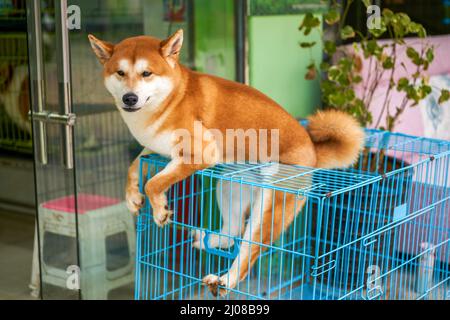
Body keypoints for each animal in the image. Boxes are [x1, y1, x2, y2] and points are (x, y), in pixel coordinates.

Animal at [89, 30, 366, 298]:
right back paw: (208, 241)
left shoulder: (201, 154)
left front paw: (160, 211)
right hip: (228, 187)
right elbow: (133, 167)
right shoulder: (160, 150)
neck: (170, 100)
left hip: (268, 209)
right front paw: (132, 198)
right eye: (120, 73)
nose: (129, 98)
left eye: (146, 73)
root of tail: (312, 150)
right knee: (233, 232)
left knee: (249, 250)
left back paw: (225, 282)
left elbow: (154, 183)